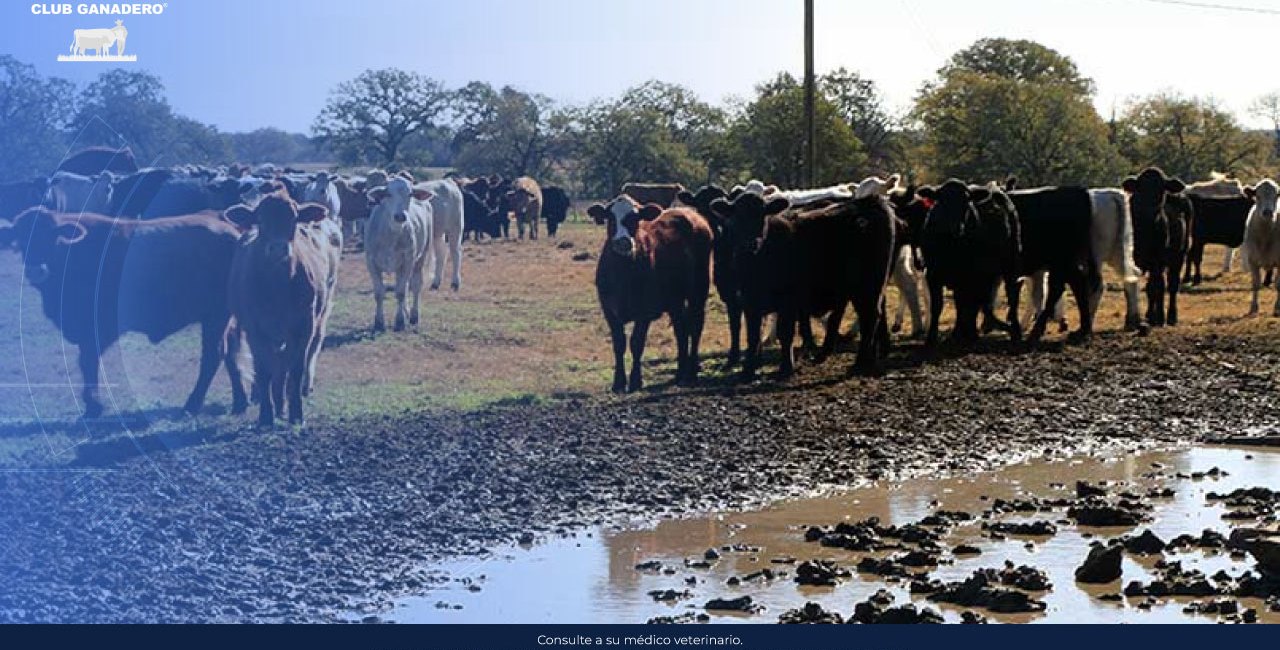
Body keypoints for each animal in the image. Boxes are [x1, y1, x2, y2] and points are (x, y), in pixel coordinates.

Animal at [225, 193, 337, 427]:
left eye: (293, 219)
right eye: (260, 219)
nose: (278, 248)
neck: (277, 289)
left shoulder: (304, 326)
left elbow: (294, 370)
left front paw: (295, 413)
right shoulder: (255, 329)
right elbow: (264, 370)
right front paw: (266, 415)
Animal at [366, 176, 435, 332]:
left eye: (410, 194)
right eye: (388, 194)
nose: (400, 216)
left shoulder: (408, 261)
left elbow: (401, 292)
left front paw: (400, 321)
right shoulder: (371, 262)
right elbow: (379, 292)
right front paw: (379, 322)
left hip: (421, 256)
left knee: (414, 285)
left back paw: (413, 315)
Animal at [586, 197, 711, 391]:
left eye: (636, 219)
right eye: (610, 218)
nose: (623, 242)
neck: (623, 275)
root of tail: (691, 214)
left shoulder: (644, 311)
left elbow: (636, 343)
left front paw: (635, 380)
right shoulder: (609, 310)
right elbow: (619, 344)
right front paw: (618, 382)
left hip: (698, 290)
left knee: (695, 326)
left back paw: (691, 373)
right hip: (675, 300)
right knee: (681, 329)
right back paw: (680, 373)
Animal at [1126, 167, 1192, 327]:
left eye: (1161, 189)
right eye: (1141, 188)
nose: (1150, 210)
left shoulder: (1158, 259)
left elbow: (1158, 287)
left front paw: (1159, 317)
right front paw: (1131, 319)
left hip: (1178, 255)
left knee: (1171, 285)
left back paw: (1170, 316)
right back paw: (1151, 314)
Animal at [1239, 180, 1280, 317]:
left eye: (1277, 195)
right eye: (1257, 195)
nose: (1267, 212)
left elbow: (1278, 284)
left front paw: (1277, 308)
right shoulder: (1252, 261)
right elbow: (1256, 284)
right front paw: (1253, 308)